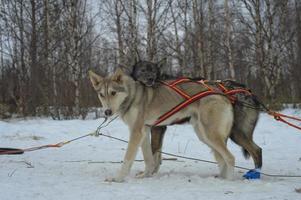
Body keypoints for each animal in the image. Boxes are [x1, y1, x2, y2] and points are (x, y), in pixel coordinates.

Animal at [89, 68, 248, 182]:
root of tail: (223, 95)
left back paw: (228, 180)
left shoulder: (136, 132)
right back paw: (221, 177)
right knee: (222, 159)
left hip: (210, 135)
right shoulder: (144, 131)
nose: (107, 112)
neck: (133, 96)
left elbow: (127, 159)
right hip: (204, 136)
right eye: (101, 95)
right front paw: (145, 175)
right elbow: (149, 159)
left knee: (230, 158)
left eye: (113, 93)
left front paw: (118, 178)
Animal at [130, 59, 262, 173]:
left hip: (235, 133)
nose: (150, 79)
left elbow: (154, 151)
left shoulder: (158, 128)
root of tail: (248, 91)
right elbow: (158, 154)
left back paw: (255, 174)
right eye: (143, 70)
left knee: (256, 150)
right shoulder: (157, 129)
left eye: (153, 71)